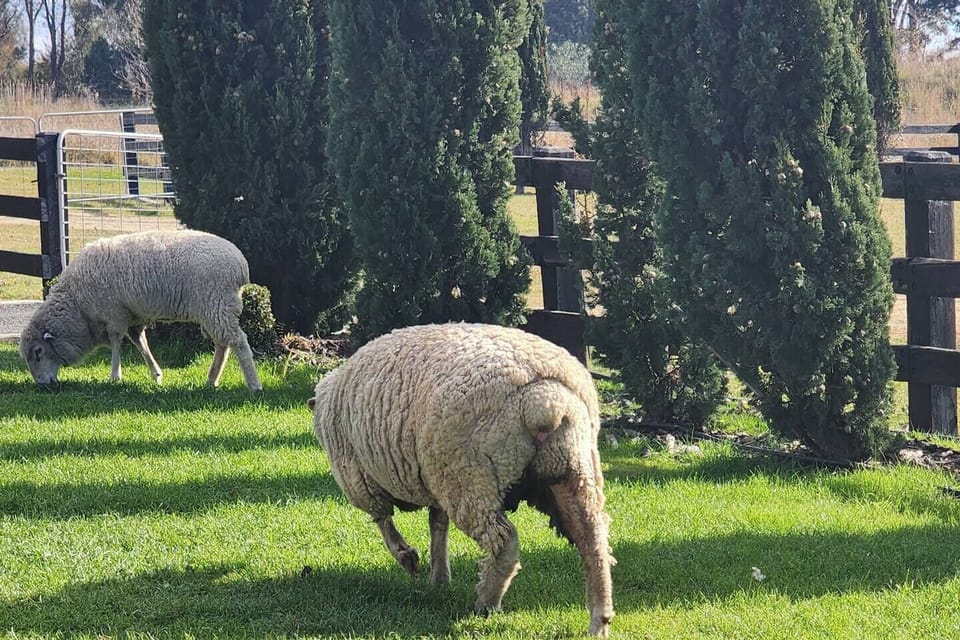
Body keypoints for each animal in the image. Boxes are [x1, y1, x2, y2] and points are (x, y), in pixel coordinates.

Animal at [19, 229, 262, 391]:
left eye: (38, 352)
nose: (42, 385)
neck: (77, 306)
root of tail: (240, 265)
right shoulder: (133, 316)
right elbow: (140, 342)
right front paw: (156, 374)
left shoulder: (114, 312)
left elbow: (116, 342)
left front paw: (115, 376)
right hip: (215, 308)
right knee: (223, 344)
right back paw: (212, 379)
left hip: (216, 303)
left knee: (238, 342)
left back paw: (253, 384)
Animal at [308, 322, 614, 637]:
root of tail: (545, 402)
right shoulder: (433, 480)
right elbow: (437, 525)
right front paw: (439, 576)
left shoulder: (360, 479)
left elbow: (384, 522)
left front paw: (407, 557)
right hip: (573, 470)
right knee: (594, 542)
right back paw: (599, 619)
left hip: (469, 479)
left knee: (504, 541)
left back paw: (487, 602)